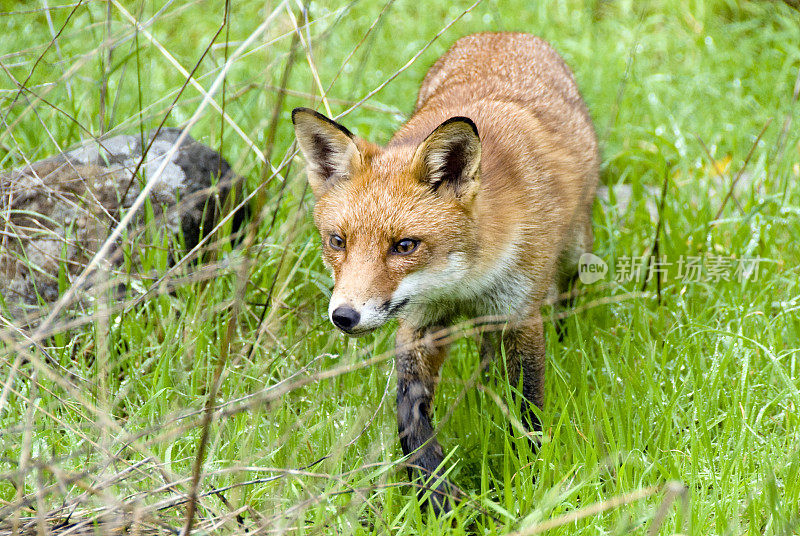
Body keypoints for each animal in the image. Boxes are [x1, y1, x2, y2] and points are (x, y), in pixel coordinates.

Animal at [290, 30, 596, 516]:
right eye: (338, 242)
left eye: (404, 246)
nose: (344, 317)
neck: (464, 283)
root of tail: (502, 33)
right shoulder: (419, 322)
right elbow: (410, 419)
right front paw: (436, 495)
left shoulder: (521, 316)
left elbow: (527, 411)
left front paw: (528, 483)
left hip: (574, 253)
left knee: (564, 299)